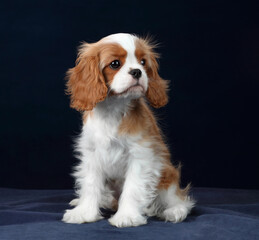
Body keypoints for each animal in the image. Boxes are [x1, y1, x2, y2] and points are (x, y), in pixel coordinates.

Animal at [62, 33, 194, 227]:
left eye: (143, 62)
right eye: (115, 64)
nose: (137, 71)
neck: (113, 109)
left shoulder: (140, 155)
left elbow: (132, 189)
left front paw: (127, 217)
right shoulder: (92, 155)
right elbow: (90, 185)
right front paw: (84, 212)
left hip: (166, 176)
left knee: (181, 201)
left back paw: (173, 212)